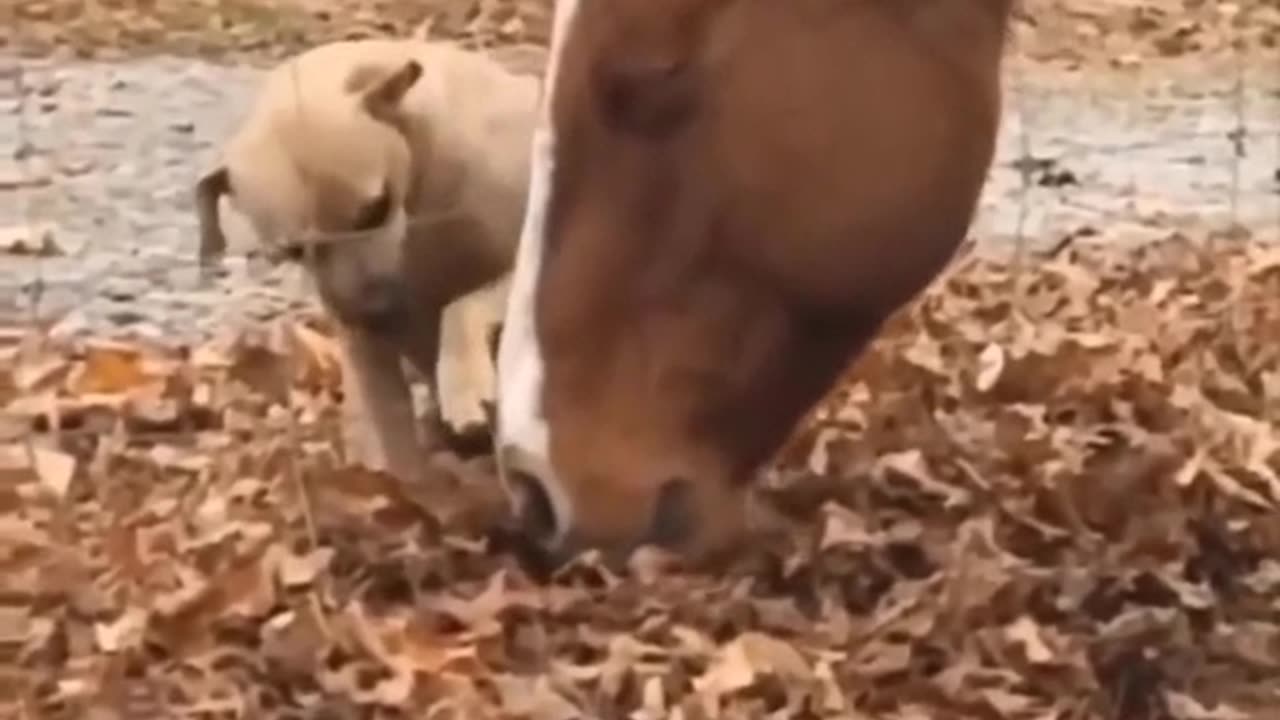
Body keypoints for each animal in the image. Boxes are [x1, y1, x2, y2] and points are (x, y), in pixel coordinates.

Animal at [195, 36, 540, 479]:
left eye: (375, 208)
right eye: (293, 251)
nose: (368, 312)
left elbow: (462, 307)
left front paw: (463, 383)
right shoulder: (370, 355)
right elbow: (391, 436)